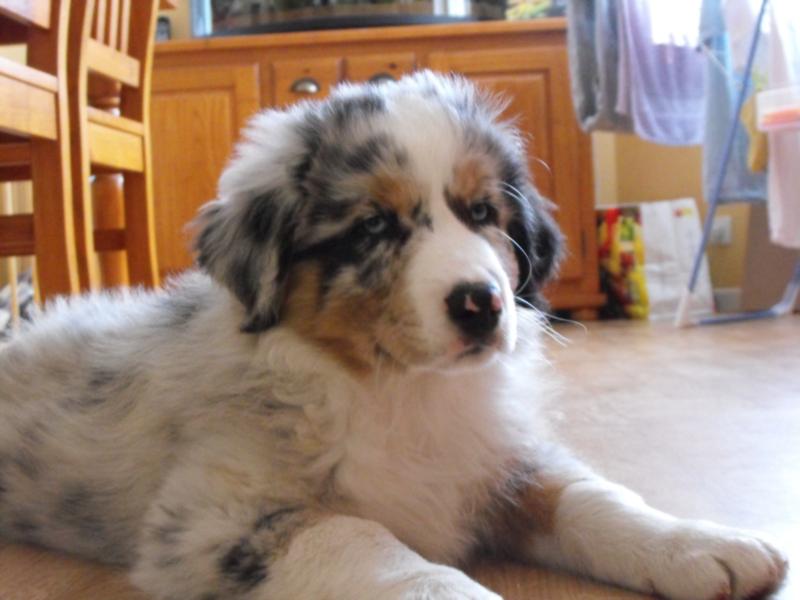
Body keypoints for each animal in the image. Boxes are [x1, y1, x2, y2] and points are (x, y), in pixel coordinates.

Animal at [0, 71, 788, 600]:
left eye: (482, 213)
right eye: (374, 226)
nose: (482, 305)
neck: (401, 393)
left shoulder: (502, 459)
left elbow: (592, 496)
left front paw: (700, 543)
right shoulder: (210, 518)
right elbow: (365, 539)